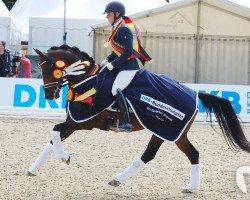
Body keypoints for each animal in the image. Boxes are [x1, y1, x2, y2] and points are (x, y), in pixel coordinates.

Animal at [27, 45, 250, 192]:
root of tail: (194, 93)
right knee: (182, 154)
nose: (49, 95)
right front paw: (32, 169)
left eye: (47, 69)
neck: (86, 80)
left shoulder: (85, 122)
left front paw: (64, 157)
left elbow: (54, 130)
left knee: (165, 154)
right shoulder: (75, 122)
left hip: (168, 131)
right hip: (170, 133)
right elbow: (52, 139)